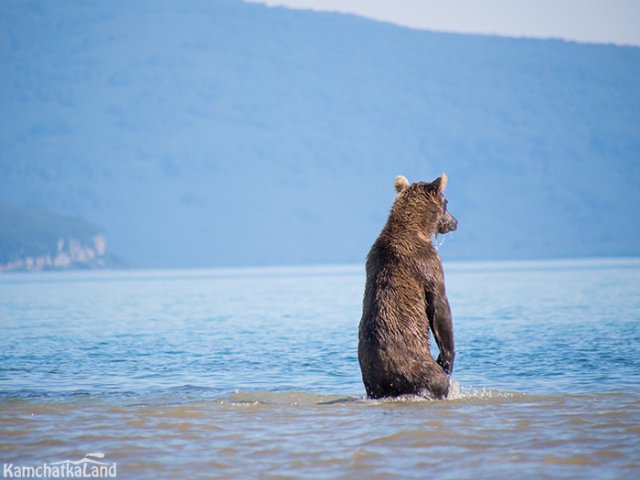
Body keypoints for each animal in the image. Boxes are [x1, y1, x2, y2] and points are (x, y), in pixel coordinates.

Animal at [358, 174, 458, 400]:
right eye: (447, 202)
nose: (455, 222)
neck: (417, 228)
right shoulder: (428, 264)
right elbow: (440, 307)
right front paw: (446, 359)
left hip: (371, 380)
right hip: (416, 365)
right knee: (435, 381)